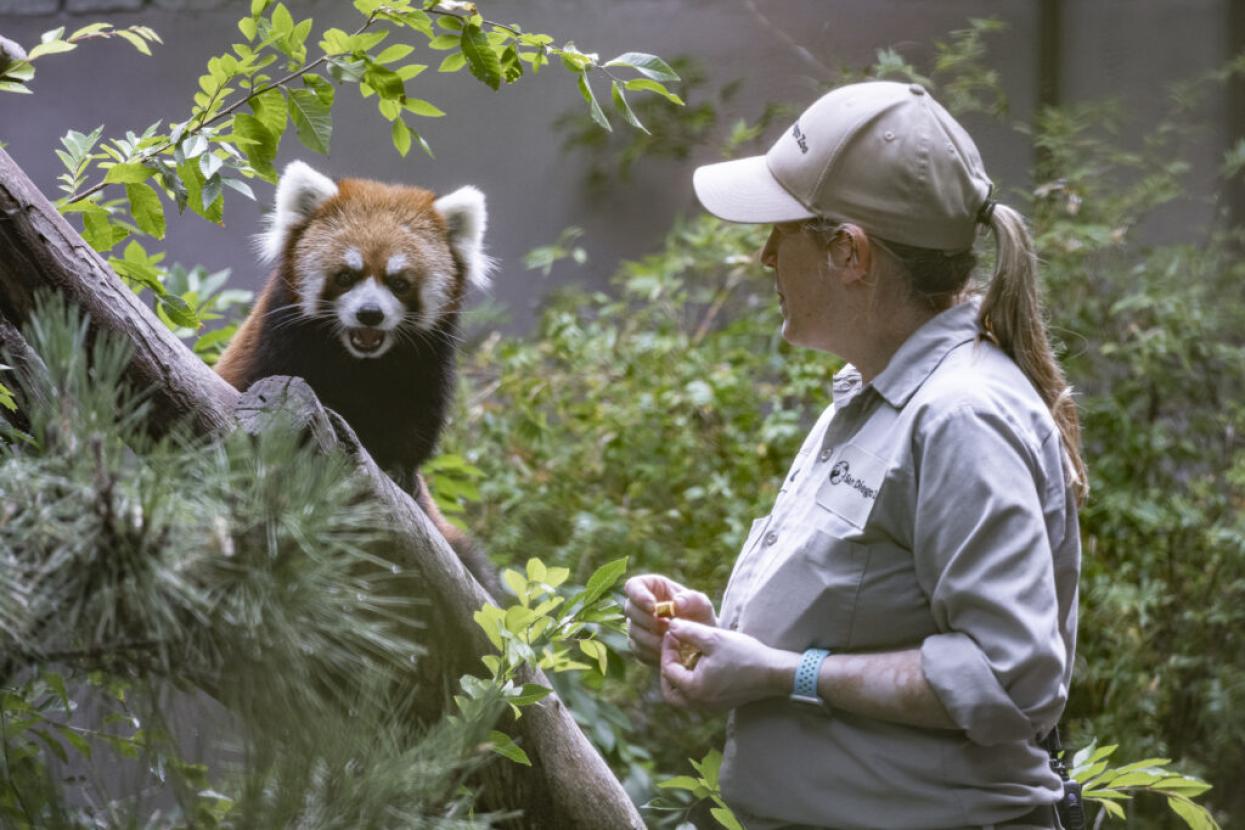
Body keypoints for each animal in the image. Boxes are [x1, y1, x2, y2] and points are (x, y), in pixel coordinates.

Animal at [219, 160, 495, 589]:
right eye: (346, 276)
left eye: (400, 283)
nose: (370, 314)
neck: (359, 363)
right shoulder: (274, 347)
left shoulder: (426, 368)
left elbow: (417, 425)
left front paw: (398, 468)